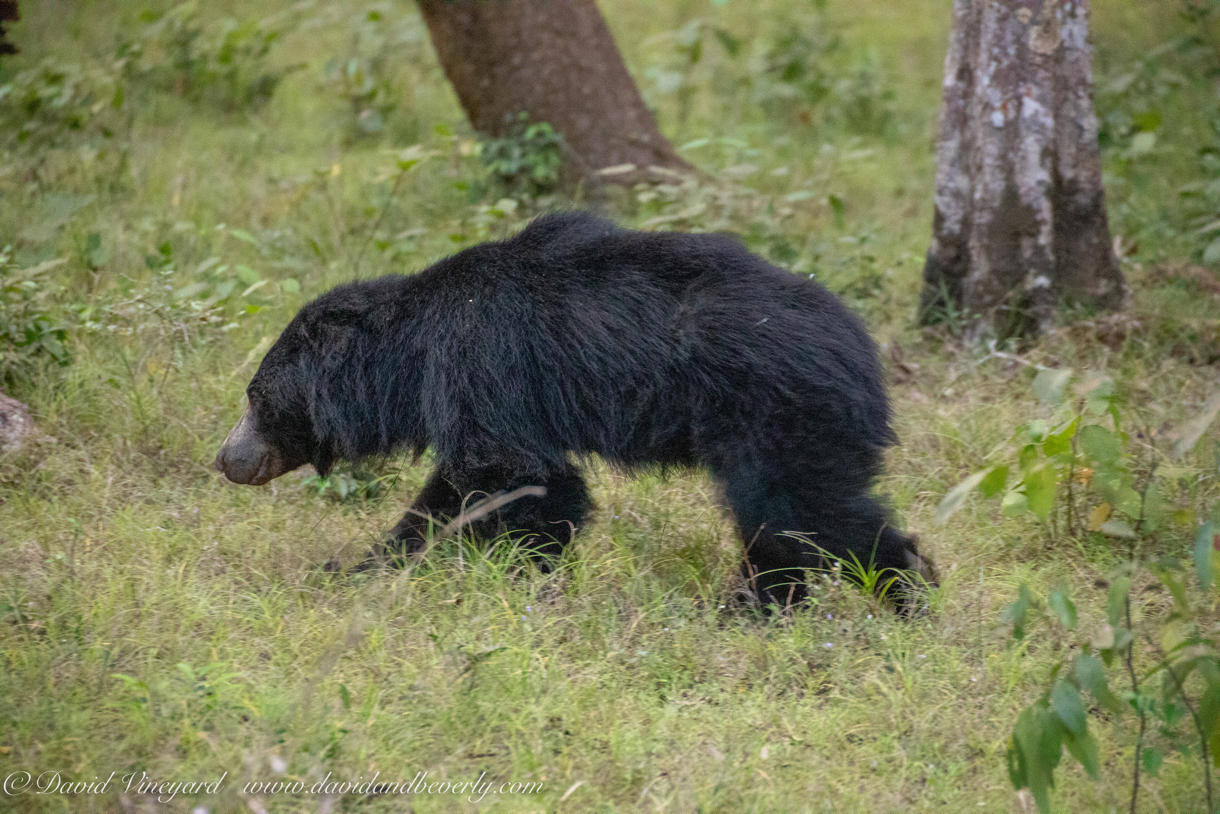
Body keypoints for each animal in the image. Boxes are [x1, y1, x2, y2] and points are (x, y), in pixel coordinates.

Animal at [214, 213, 927, 607]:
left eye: (256, 398)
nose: (226, 460)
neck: (411, 354)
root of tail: (865, 355)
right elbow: (478, 487)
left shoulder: (482, 366)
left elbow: (518, 481)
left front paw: (519, 579)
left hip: (774, 412)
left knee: (797, 515)